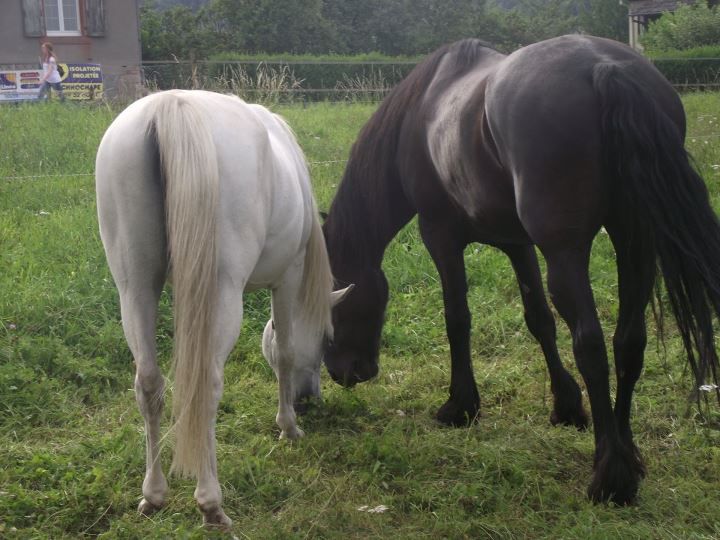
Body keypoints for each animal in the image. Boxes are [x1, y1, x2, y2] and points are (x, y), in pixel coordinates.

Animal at [95, 89, 350, 527]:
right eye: (324, 343)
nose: (308, 398)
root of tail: (170, 108)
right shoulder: (288, 278)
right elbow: (285, 352)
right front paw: (288, 426)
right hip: (222, 291)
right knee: (207, 386)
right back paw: (211, 503)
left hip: (135, 288)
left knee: (148, 384)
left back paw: (154, 494)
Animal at [321, 35, 720, 505]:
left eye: (331, 301)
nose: (344, 373)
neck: (422, 114)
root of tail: (603, 67)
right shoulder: (518, 245)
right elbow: (539, 321)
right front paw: (566, 405)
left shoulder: (440, 236)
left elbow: (457, 319)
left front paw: (461, 406)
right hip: (634, 243)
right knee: (629, 343)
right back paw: (628, 457)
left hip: (566, 254)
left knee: (591, 345)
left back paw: (610, 476)